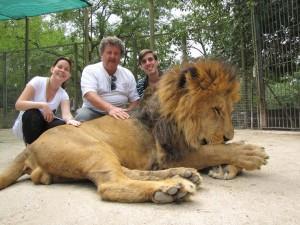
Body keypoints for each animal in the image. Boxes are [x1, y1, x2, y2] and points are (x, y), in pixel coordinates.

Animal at [0, 59, 268, 203]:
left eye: (229, 110)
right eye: (216, 109)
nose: (229, 135)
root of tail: (30, 147)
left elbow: (216, 149)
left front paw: (227, 168)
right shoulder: (171, 153)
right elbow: (214, 150)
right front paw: (250, 154)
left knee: (128, 172)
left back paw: (183, 175)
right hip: (93, 147)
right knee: (112, 184)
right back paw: (171, 189)